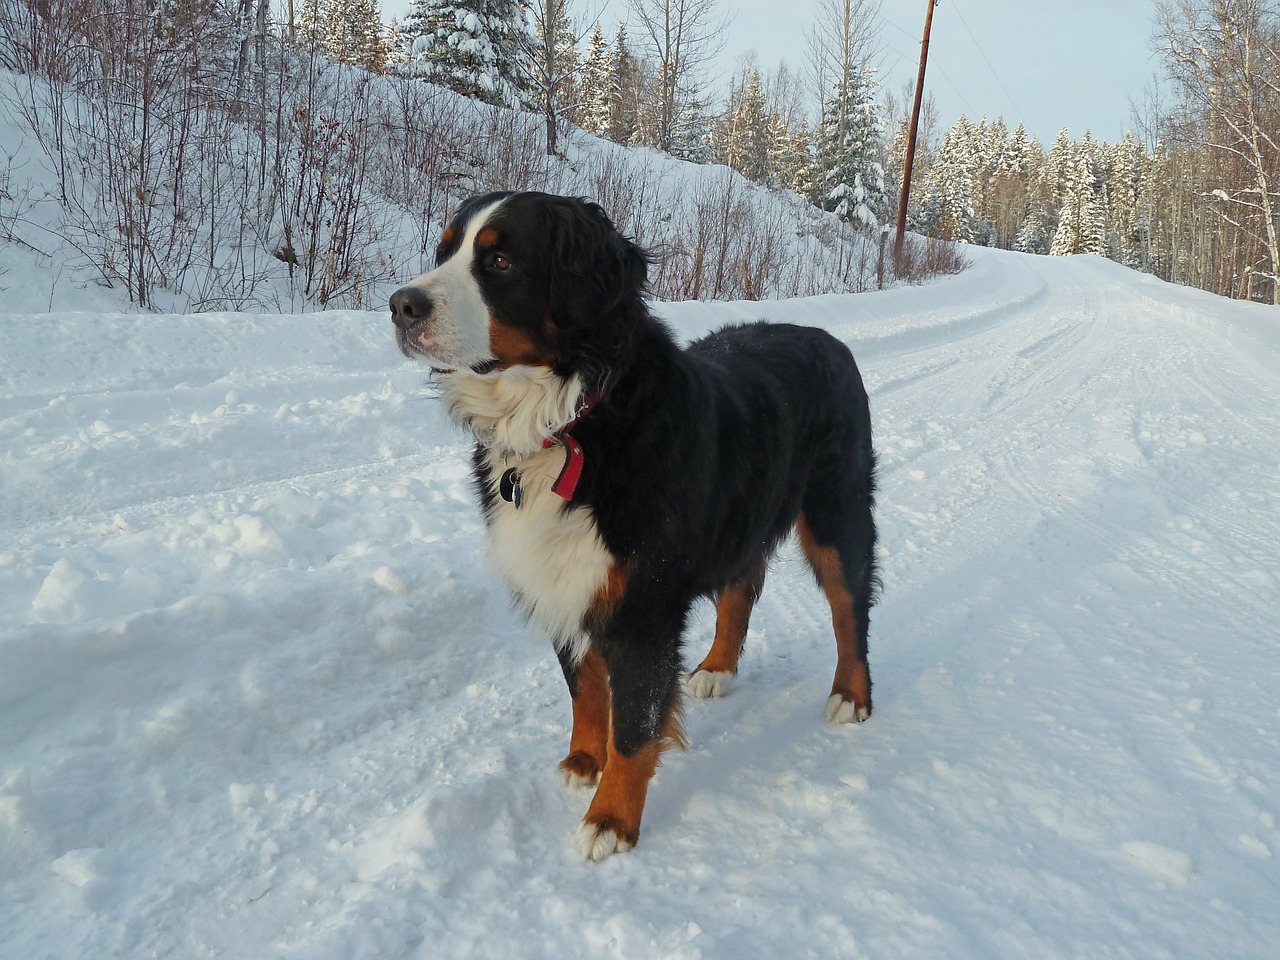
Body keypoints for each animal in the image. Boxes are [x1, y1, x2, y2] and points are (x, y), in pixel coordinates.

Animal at [384, 189, 875, 865]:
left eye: (501, 261)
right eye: (444, 251)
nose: (401, 305)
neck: (570, 424)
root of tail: (827, 338)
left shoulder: (642, 605)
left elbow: (637, 724)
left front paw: (611, 818)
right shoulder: (565, 579)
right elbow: (587, 689)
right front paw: (583, 761)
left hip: (836, 510)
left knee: (851, 606)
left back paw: (852, 695)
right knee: (742, 587)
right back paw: (718, 668)